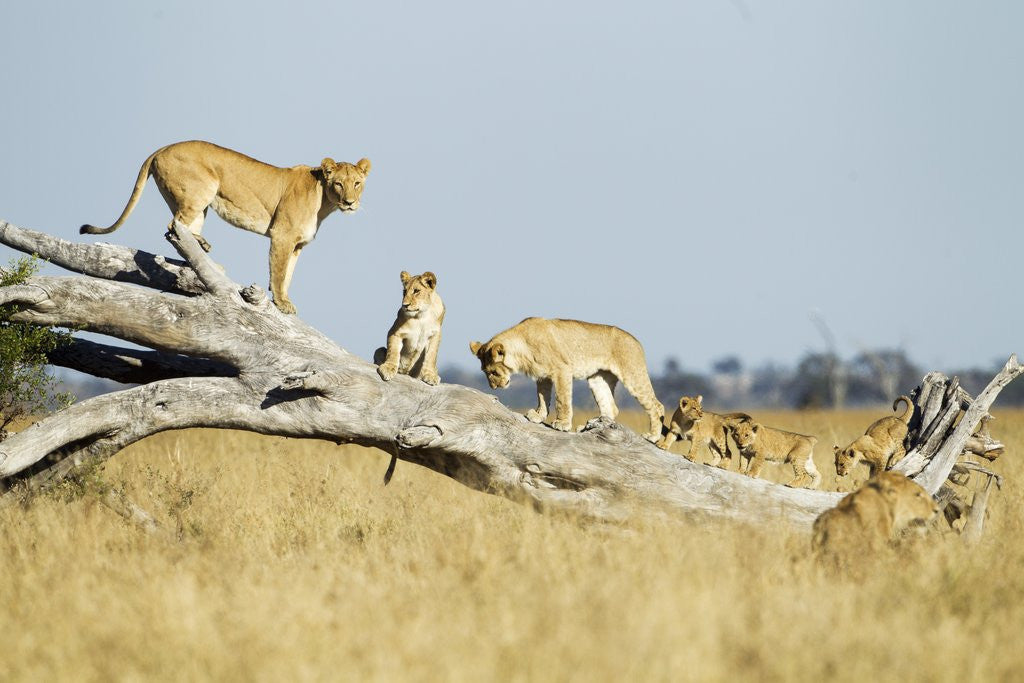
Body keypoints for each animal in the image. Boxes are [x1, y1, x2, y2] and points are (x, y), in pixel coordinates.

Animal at [80, 140, 371, 315]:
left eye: (357, 183)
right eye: (339, 184)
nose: (350, 202)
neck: (324, 203)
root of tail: (162, 148)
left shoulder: (297, 245)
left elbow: (288, 275)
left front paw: (286, 301)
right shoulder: (282, 236)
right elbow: (278, 273)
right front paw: (281, 304)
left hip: (197, 202)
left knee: (179, 226)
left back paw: (205, 250)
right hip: (202, 190)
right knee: (174, 224)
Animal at [469, 318, 664, 441]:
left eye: (494, 372)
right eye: (485, 372)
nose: (493, 387)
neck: (523, 349)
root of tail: (636, 340)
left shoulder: (562, 370)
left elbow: (561, 400)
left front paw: (562, 424)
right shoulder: (542, 376)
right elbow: (542, 397)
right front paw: (538, 416)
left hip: (633, 374)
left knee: (656, 406)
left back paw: (653, 436)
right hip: (598, 379)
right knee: (611, 407)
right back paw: (590, 427)